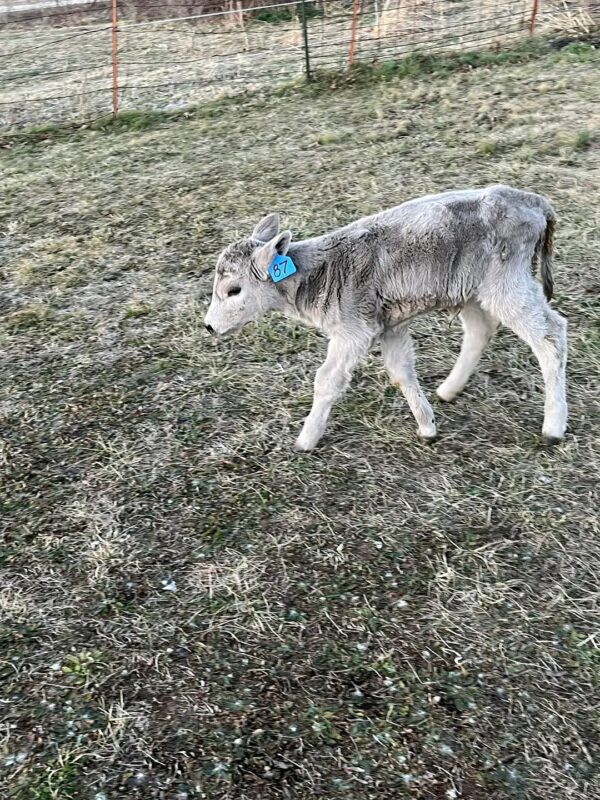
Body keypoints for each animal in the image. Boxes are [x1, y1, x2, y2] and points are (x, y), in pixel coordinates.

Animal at [204, 185, 567, 452]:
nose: (209, 326)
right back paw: (449, 389)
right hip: (473, 290)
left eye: (234, 290)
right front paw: (427, 426)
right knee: (481, 329)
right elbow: (401, 372)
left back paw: (553, 427)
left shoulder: (353, 332)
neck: (323, 272)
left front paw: (305, 439)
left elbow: (327, 380)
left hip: (507, 284)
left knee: (551, 335)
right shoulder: (389, 326)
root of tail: (532, 201)